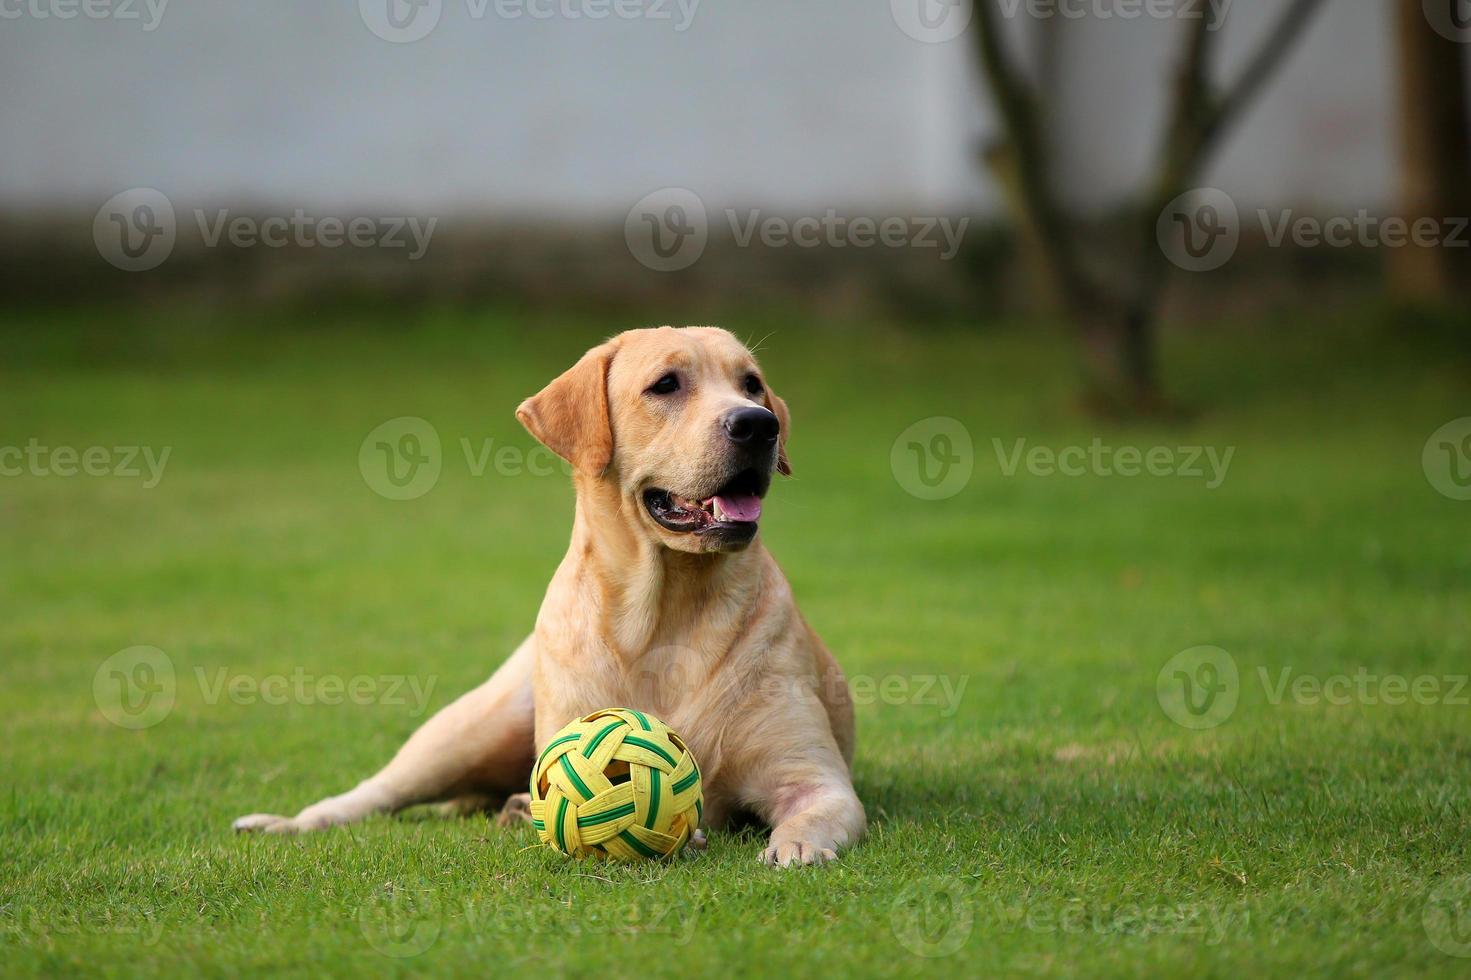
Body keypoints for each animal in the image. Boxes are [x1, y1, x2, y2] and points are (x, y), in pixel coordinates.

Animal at [232, 326, 859, 865]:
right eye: (665, 385)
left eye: (752, 383)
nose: (758, 424)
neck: (666, 610)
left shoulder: (817, 780)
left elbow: (812, 812)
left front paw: (795, 847)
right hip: (467, 730)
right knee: (374, 791)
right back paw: (288, 822)